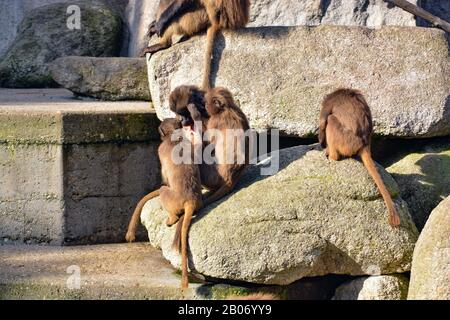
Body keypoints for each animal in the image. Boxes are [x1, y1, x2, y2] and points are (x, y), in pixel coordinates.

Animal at [124, 118, 201, 290]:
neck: (175, 137)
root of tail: (191, 198)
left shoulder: (161, 150)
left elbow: (165, 178)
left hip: (172, 199)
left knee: (164, 190)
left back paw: (172, 218)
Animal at [320, 88, 400, 228]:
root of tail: (364, 143)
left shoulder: (329, 102)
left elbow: (323, 121)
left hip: (346, 140)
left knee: (331, 120)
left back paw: (332, 156)